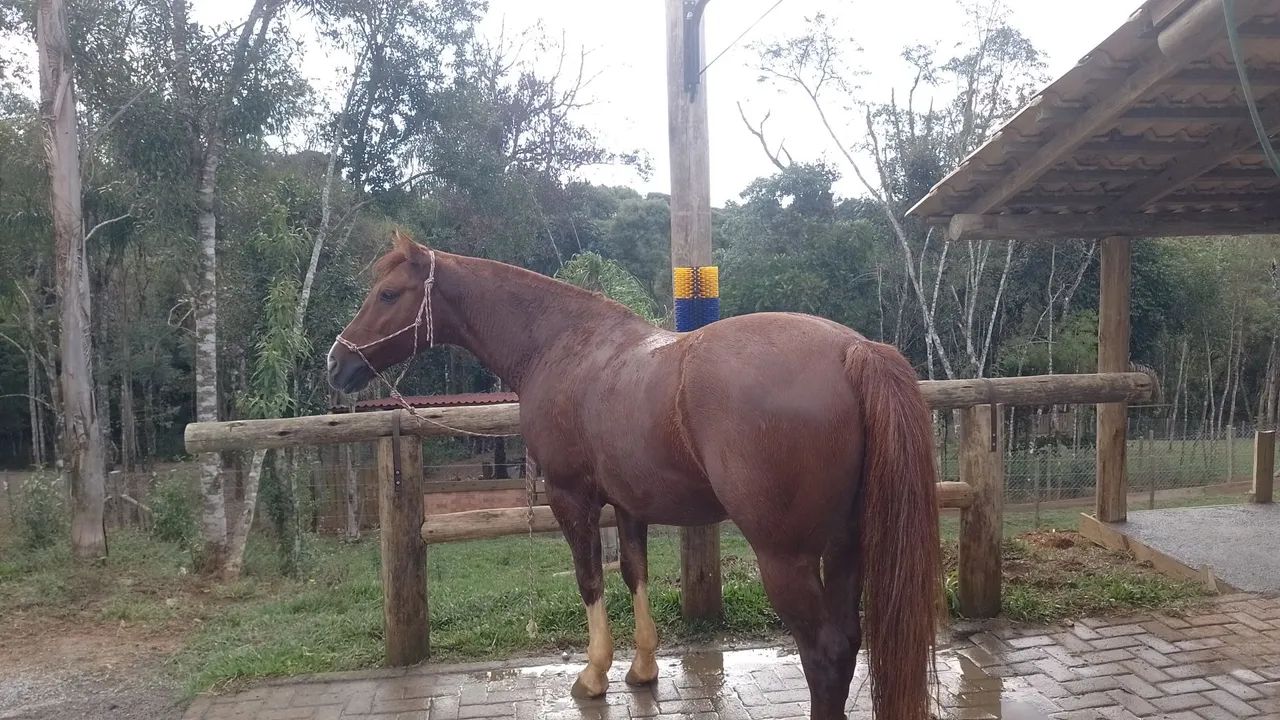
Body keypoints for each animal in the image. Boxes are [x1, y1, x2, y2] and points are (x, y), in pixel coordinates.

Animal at [328, 230, 941, 720]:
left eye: (388, 294)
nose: (337, 362)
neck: (562, 345)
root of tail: (855, 350)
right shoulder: (628, 503)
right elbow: (633, 573)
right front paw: (643, 668)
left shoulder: (571, 498)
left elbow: (590, 580)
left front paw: (593, 675)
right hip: (846, 545)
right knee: (850, 640)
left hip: (784, 557)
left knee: (826, 653)